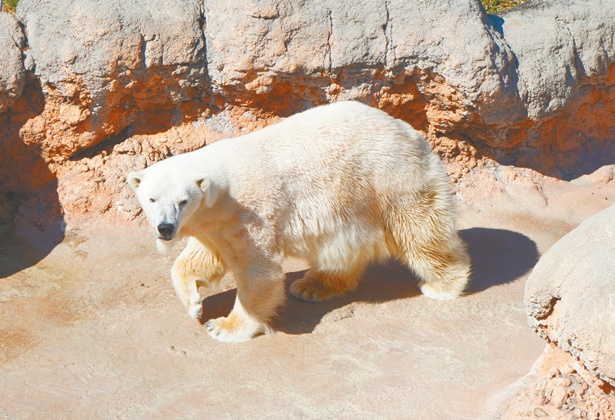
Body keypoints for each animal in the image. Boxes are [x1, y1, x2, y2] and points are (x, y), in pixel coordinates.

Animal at [129, 101, 472, 342]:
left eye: (182, 201)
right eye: (152, 199)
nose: (165, 228)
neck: (223, 190)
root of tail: (412, 132)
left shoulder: (253, 212)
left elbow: (259, 274)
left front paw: (223, 326)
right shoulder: (217, 224)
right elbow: (202, 256)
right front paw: (193, 304)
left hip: (390, 179)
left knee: (419, 230)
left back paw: (442, 285)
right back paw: (312, 285)